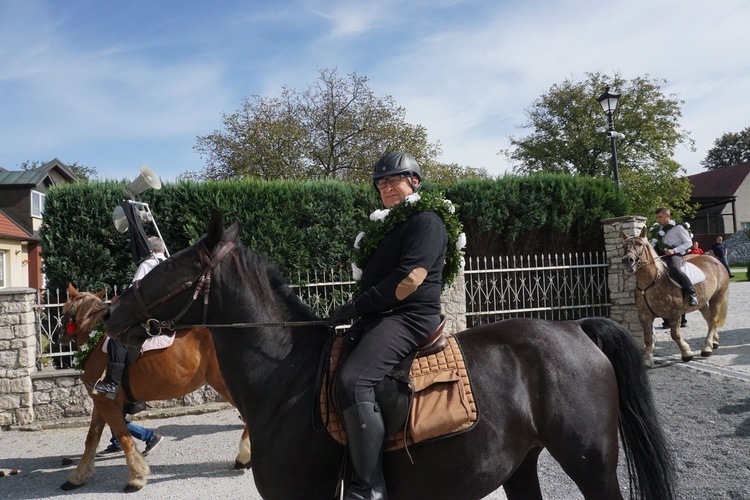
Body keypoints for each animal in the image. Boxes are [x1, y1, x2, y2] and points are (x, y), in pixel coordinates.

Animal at [59, 286, 253, 492]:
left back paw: (244, 456)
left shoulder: (108, 404)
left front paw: (136, 477)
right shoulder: (101, 403)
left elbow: (123, 437)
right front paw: (78, 477)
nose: (59, 336)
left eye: (64, 310)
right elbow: (91, 439)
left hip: (225, 384)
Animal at [103, 212, 680, 500]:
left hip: (592, 466)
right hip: (521, 465)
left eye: (163, 270)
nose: (111, 316)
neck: (288, 380)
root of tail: (576, 329)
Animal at [624, 228, 732, 368]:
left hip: (716, 297)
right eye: (624, 246)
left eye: (639, 244)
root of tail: (717, 261)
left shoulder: (674, 314)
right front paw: (648, 360)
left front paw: (687, 353)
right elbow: (647, 338)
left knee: (713, 320)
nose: (627, 260)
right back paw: (715, 341)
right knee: (709, 319)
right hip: (702, 302)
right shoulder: (644, 315)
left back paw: (707, 348)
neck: (651, 283)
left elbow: (675, 334)